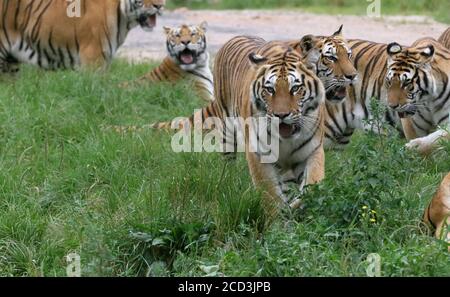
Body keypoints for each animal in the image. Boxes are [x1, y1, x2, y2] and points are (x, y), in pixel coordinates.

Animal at [171, 36, 326, 217]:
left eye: (295, 88)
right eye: (270, 89)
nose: (281, 115)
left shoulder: (314, 151)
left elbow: (312, 186)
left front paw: (295, 208)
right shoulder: (258, 154)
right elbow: (270, 196)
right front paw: (278, 221)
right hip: (227, 130)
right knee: (228, 166)